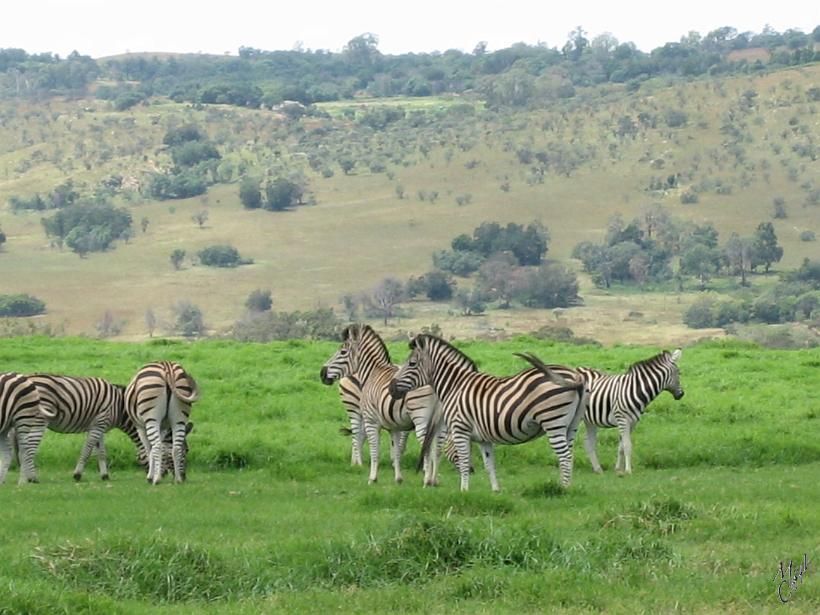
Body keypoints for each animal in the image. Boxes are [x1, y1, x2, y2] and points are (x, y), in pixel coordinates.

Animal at [320, 324, 442, 488]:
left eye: (343, 352)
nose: (322, 373)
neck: (373, 373)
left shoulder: (372, 421)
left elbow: (374, 450)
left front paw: (372, 478)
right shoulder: (394, 426)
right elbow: (396, 451)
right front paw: (398, 478)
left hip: (420, 418)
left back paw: (427, 480)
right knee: (437, 447)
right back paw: (434, 480)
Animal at [388, 334, 588, 494]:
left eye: (412, 363)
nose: (391, 388)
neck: (455, 385)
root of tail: (573, 375)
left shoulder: (460, 429)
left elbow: (464, 460)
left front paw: (464, 491)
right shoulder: (483, 438)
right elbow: (489, 464)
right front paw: (495, 490)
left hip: (553, 421)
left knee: (565, 456)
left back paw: (563, 489)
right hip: (572, 425)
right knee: (570, 455)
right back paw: (565, 486)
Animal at [556, 348, 684, 474]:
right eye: (679, 373)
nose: (681, 394)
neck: (636, 389)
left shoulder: (633, 422)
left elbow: (621, 447)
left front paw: (618, 469)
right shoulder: (622, 419)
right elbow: (627, 445)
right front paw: (628, 471)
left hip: (589, 420)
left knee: (588, 442)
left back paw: (598, 469)